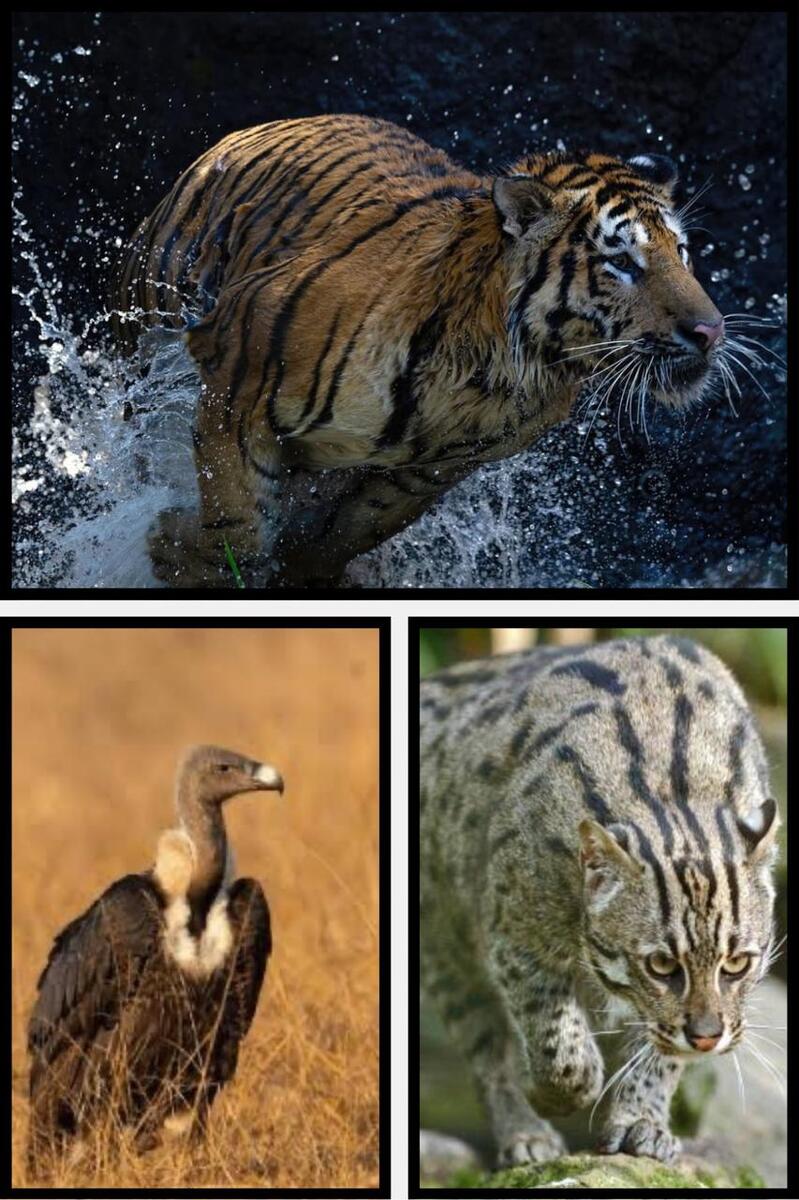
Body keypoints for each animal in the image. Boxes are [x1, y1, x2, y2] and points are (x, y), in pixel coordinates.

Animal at [111, 114, 726, 589]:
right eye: (620, 262)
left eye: (682, 252)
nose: (711, 331)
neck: (492, 372)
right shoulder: (239, 390)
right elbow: (235, 525)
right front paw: (174, 551)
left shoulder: (429, 472)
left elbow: (347, 531)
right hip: (147, 333)